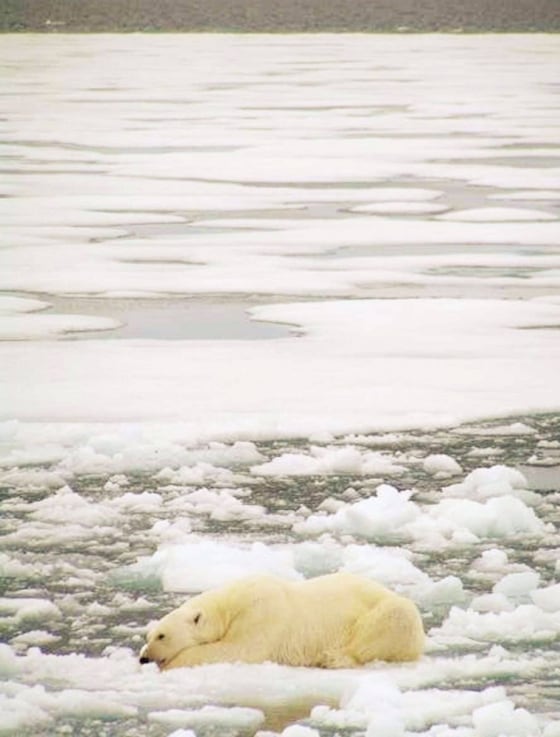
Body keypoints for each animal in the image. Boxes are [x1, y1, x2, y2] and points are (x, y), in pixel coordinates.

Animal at [139, 572, 424, 670]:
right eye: (148, 636)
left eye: (162, 635)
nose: (143, 658)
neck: (231, 604)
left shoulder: (261, 613)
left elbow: (239, 649)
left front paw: (173, 663)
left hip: (384, 613)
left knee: (394, 617)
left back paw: (333, 657)